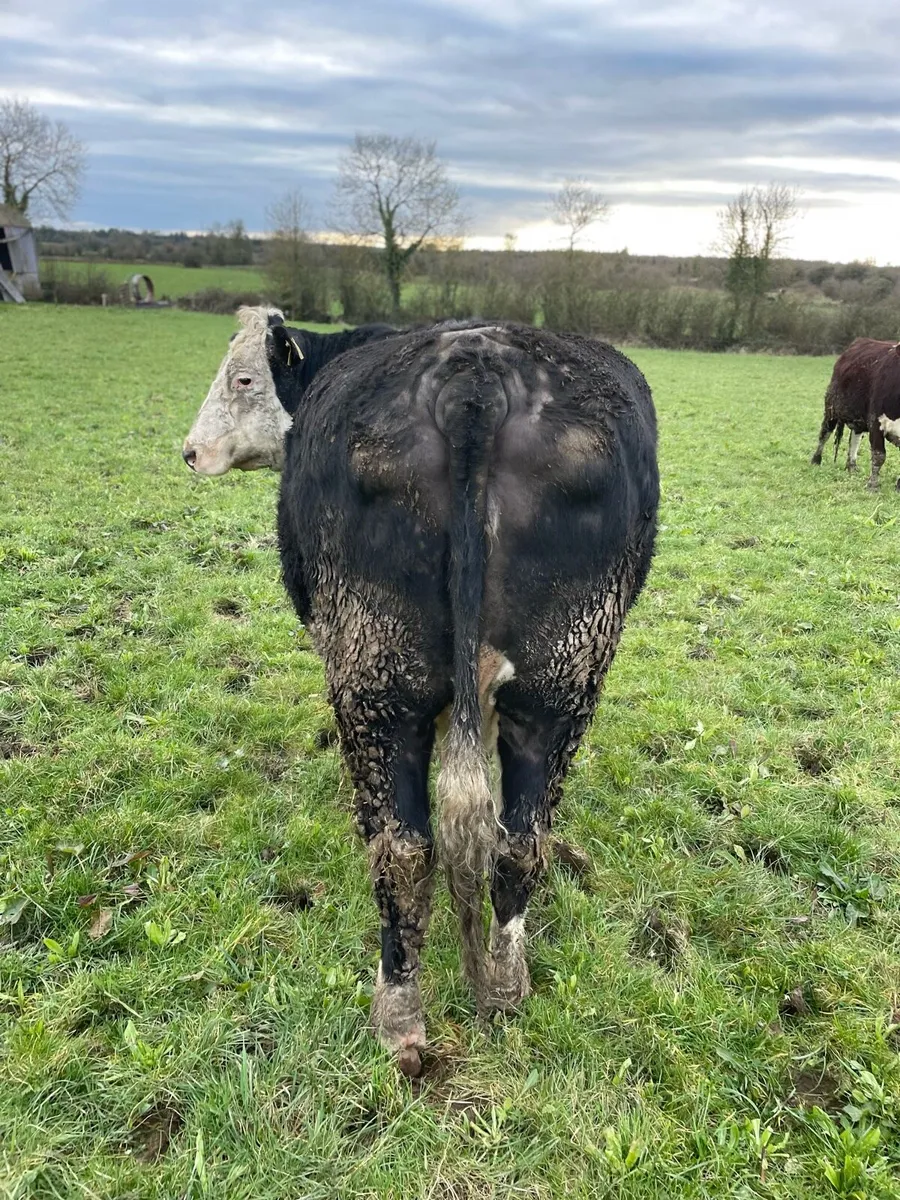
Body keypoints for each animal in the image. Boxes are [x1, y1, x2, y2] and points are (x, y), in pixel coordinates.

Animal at [183, 310, 659, 1075]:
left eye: (245, 378)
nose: (190, 453)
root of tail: (476, 376)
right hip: (564, 679)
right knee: (518, 842)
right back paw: (504, 990)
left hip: (375, 675)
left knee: (403, 850)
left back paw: (399, 1015)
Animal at [810, 338, 900, 490]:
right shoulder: (875, 421)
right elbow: (879, 455)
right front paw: (873, 485)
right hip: (832, 407)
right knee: (824, 434)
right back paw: (816, 460)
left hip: (858, 418)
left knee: (854, 438)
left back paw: (851, 466)